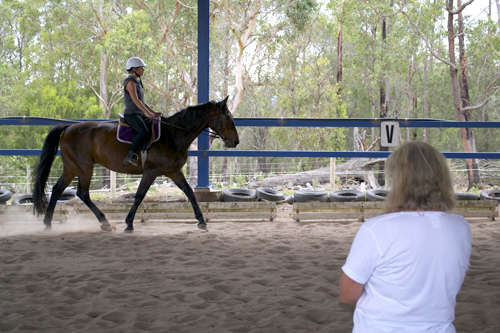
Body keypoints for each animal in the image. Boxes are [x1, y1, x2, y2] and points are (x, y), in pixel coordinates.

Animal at [32, 96, 239, 231]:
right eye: (228, 117)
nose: (235, 142)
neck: (173, 134)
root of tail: (69, 127)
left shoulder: (173, 172)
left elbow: (189, 193)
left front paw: (201, 220)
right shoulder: (151, 171)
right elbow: (139, 196)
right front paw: (129, 223)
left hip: (71, 168)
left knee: (57, 190)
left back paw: (48, 224)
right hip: (84, 168)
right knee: (82, 193)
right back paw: (104, 222)